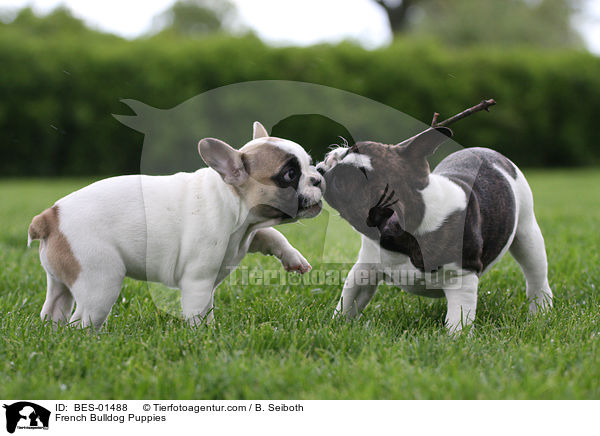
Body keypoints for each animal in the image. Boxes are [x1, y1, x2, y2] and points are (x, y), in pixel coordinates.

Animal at [28, 122, 324, 328]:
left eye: (310, 164)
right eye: (289, 174)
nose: (319, 177)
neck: (232, 202)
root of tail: (49, 217)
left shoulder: (250, 232)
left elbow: (271, 234)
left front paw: (294, 259)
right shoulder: (197, 281)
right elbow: (198, 313)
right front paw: (206, 337)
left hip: (61, 279)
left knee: (55, 308)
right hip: (99, 281)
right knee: (82, 320)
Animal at [318, 127, 552, 332]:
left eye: (340, 184)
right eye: (349, 151)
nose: (322, 168)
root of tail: (489, 152)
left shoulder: (462, 279)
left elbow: (458, 320)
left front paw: (454, 342)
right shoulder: (365, 269)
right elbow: (348, 302)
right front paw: (335, 326)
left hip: (527, 233)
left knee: (536, 276)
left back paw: (541, 312)